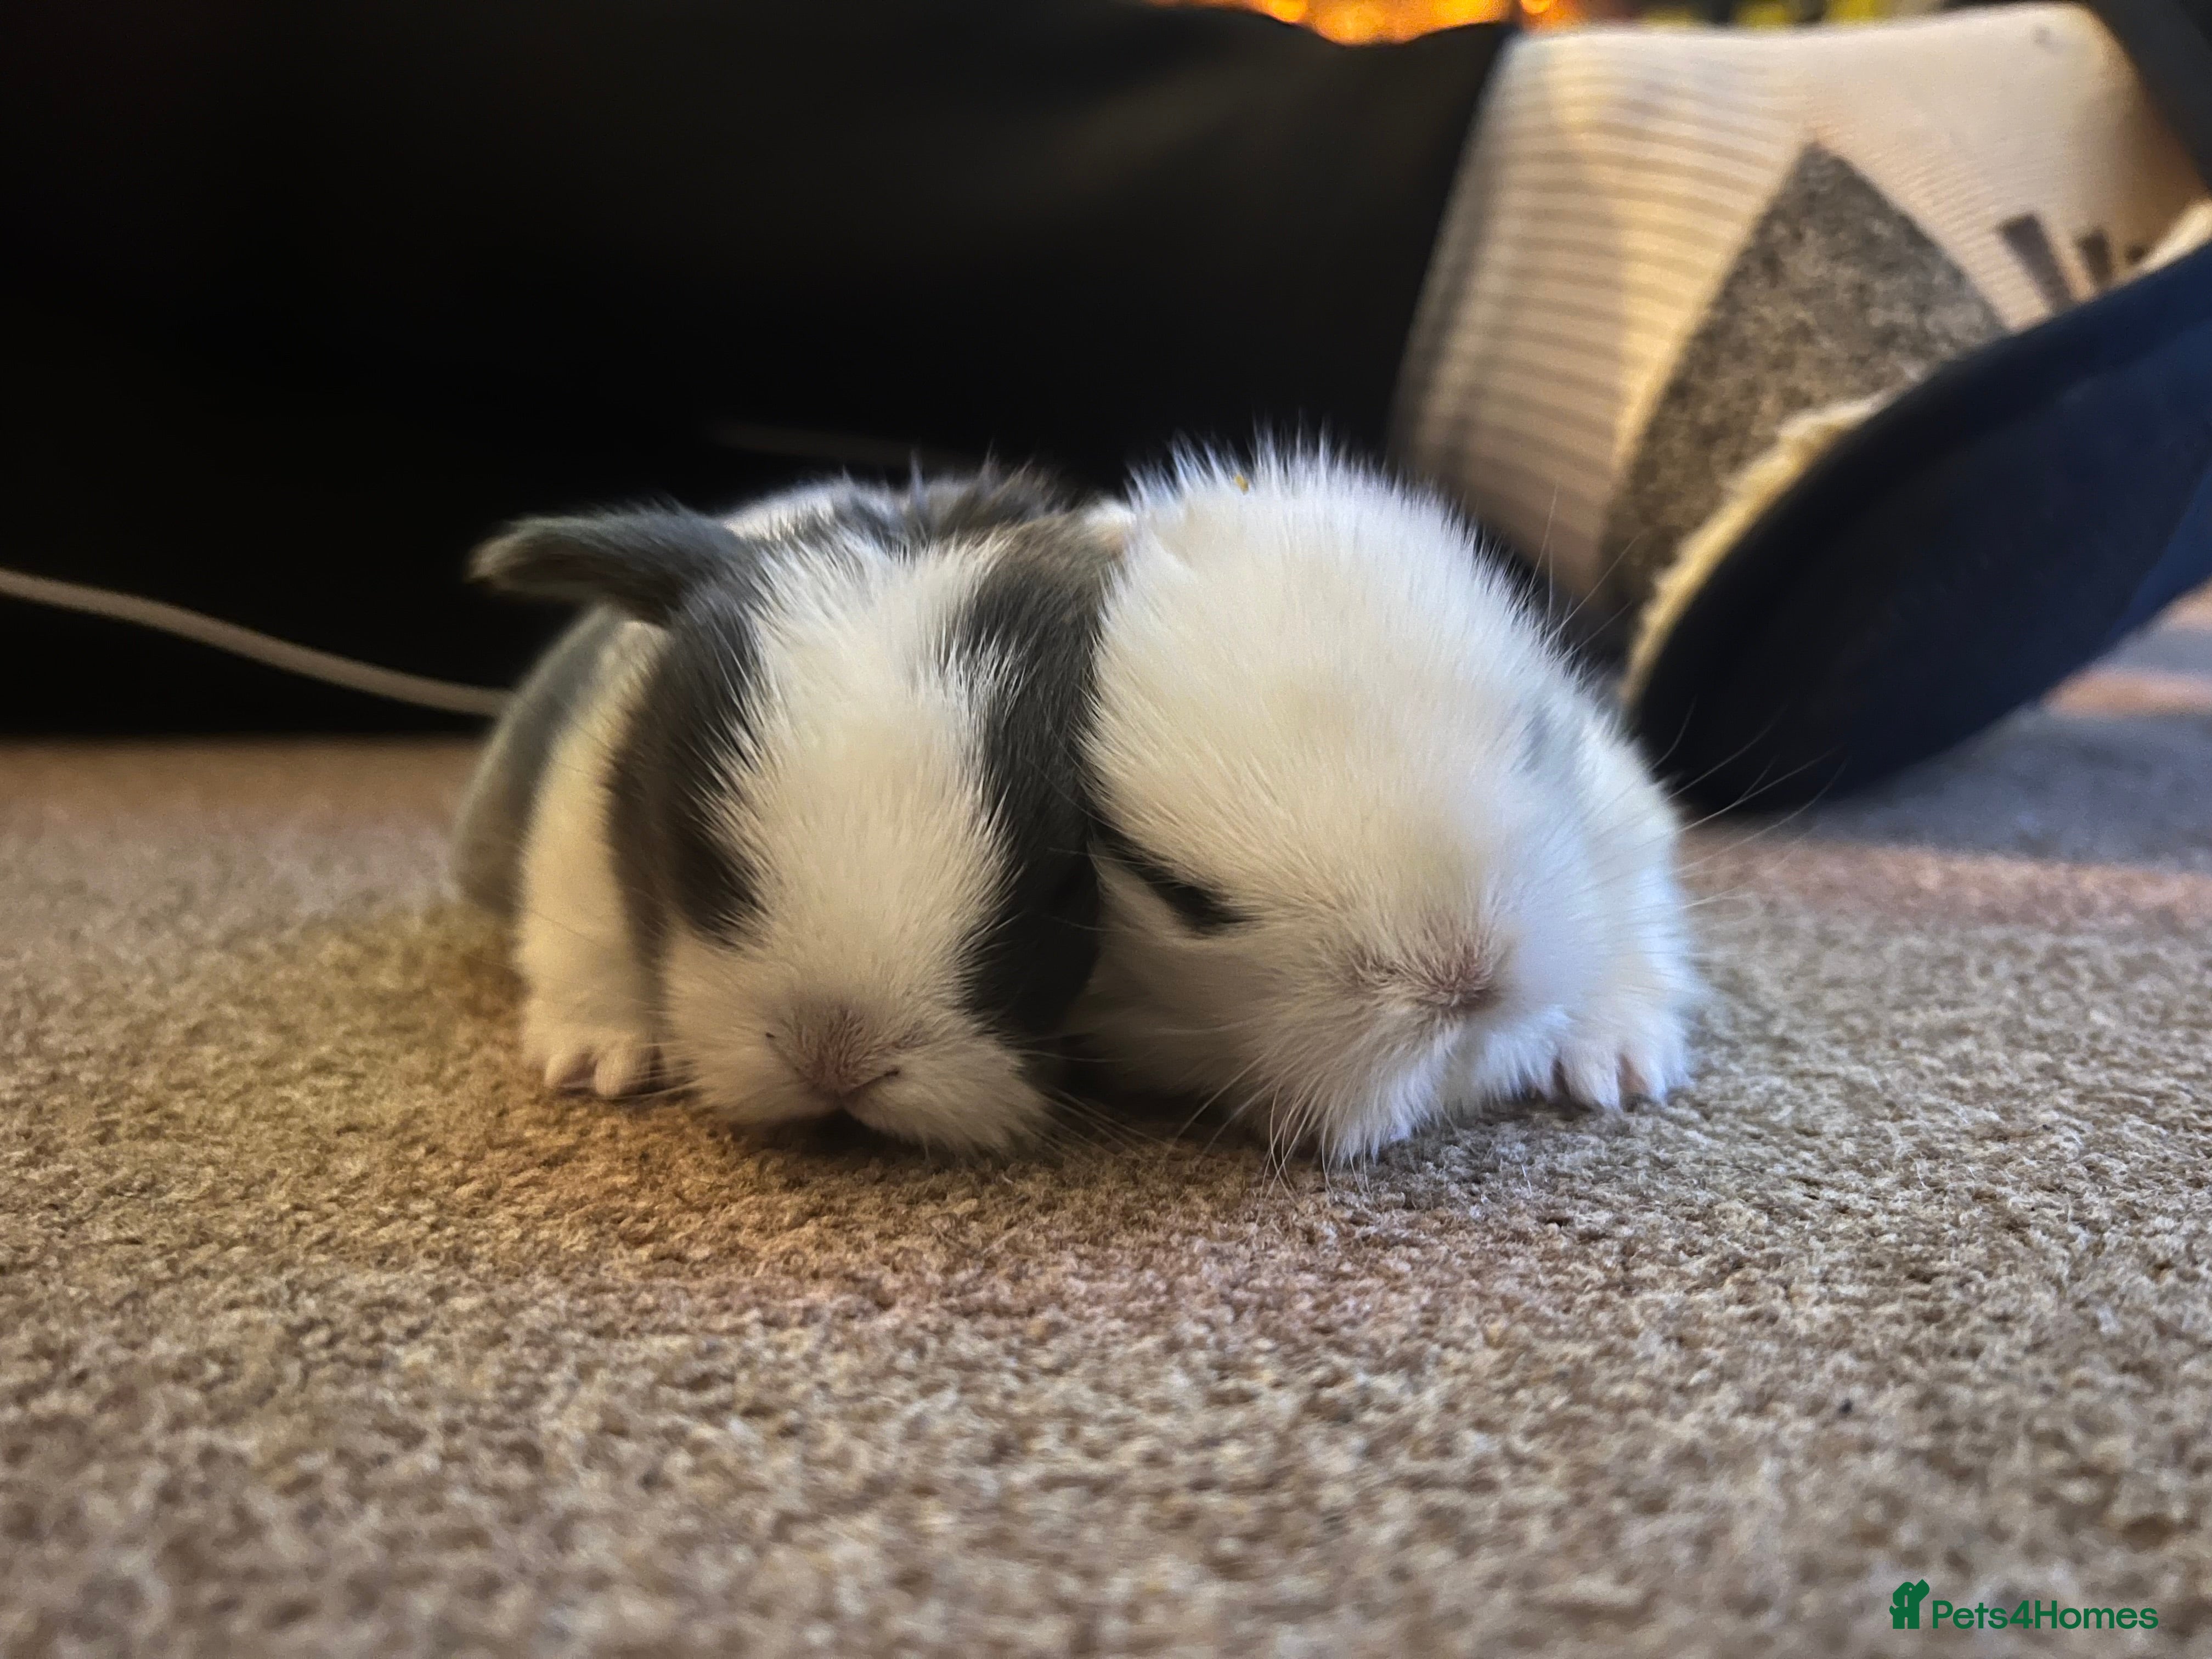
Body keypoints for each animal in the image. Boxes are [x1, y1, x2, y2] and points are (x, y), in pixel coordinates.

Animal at [452, 469, 1119, 1154]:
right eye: (697, 856)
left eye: (1066, 884)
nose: (834, 1062)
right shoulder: (582, 806)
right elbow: (586, 925)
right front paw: (597, 1058)